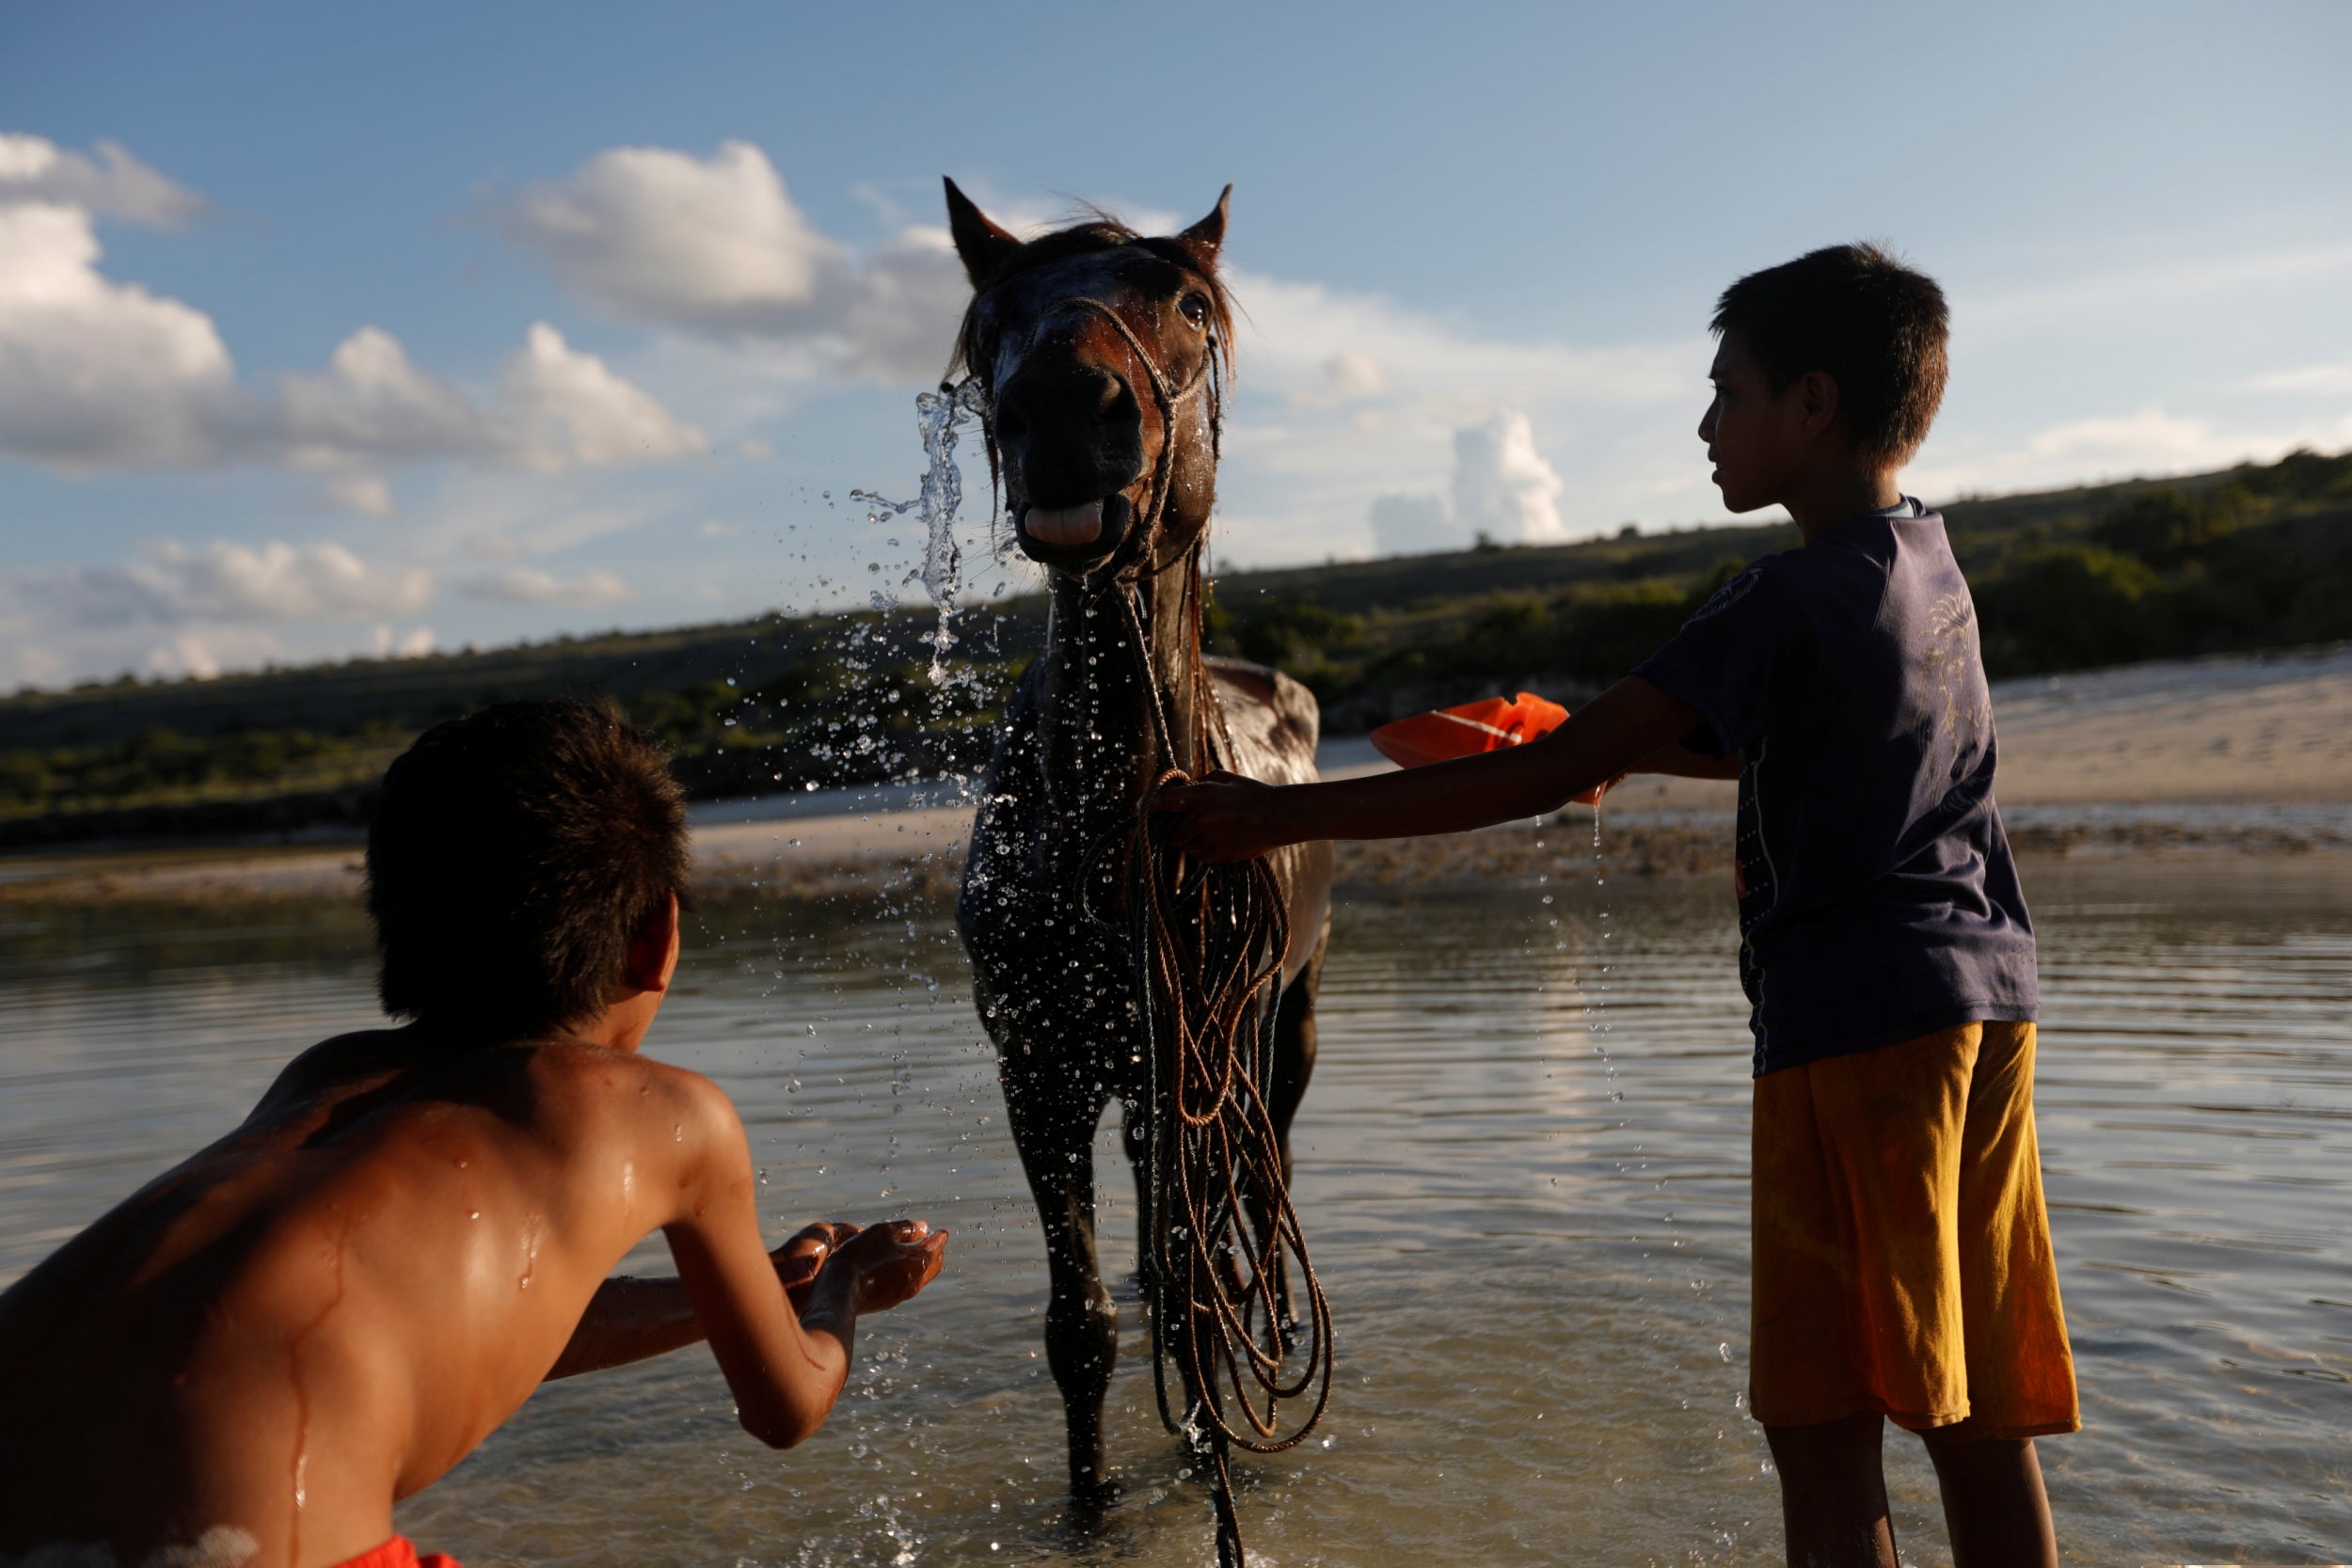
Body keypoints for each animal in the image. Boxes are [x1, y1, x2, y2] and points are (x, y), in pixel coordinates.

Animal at [941, 177, 1345, 1513]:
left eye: (1185, 302)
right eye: (991, 319)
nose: (1068, 408)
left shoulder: (1193, 1054)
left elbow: (1191, 1286)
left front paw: (1211, 1453)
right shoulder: (1039, 1067)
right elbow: (1083, 1324)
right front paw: (1090, 1508)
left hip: (1283, 1027)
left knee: (1253, 1193)